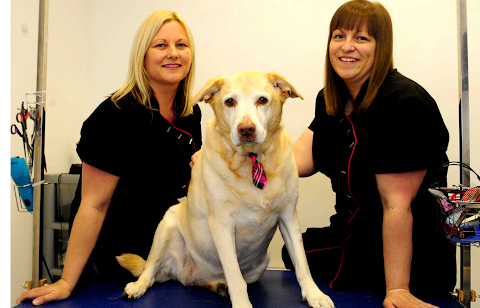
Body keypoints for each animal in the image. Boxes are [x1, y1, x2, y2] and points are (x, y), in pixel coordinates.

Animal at [116, 70, 334, 308]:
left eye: (262, 100)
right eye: (230, 102)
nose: (246, 129)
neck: (252, 160)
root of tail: (182, 273)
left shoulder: (288, 216)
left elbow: (302, 264)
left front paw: (314, 295)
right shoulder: (222, 225)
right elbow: (235, 276)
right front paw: (242, 304)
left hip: (260, 264)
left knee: (201, 281)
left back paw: (219, 285)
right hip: (166, 224)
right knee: (150, 269)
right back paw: (139, 286)